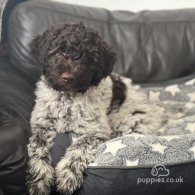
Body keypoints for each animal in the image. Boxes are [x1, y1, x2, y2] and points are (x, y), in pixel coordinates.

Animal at [26, 23, 168, 195]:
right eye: (60, 51)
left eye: (87, 57)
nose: (68, 77)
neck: (68, 97)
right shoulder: (41, 126)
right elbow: (37, 149)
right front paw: (38, 181)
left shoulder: (95, 130)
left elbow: (80, 147)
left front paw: (67, 175)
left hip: (130, 121)